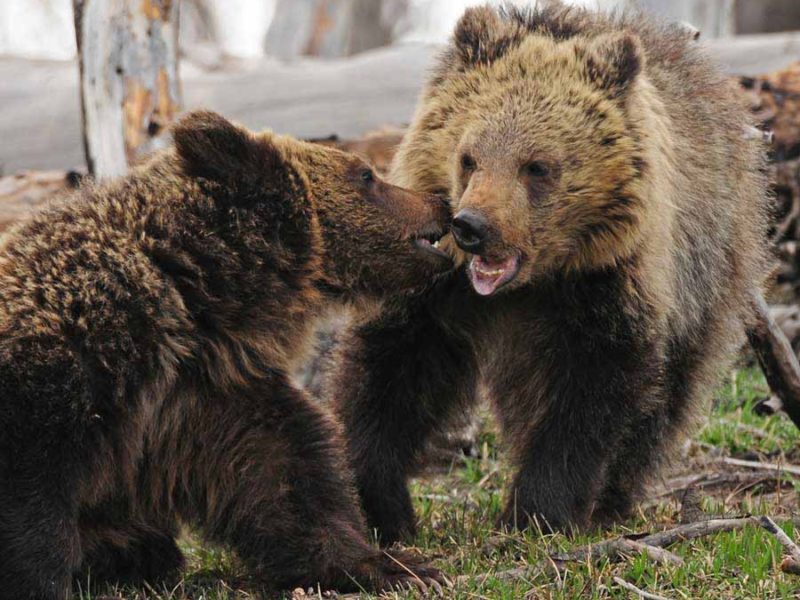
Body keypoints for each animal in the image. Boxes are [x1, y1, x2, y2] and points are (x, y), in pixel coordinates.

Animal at [0, 110, 454, 596]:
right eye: (365, 175)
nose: (440, 201)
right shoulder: (60, 375)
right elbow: (31, 497)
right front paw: (40, 582)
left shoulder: (205, 393)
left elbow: (285, 474)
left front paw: (392, 565)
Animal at [328, 1, 772, 544]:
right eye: (468, 157)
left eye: (536, 166)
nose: (471, 226)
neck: (533, 284)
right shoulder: (436, 287)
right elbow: (395, 369)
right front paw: (382, 505)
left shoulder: (608, 285)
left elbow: (589, 395)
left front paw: (537, 511)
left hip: (707, 271)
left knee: (669, 396)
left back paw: (614, 498)